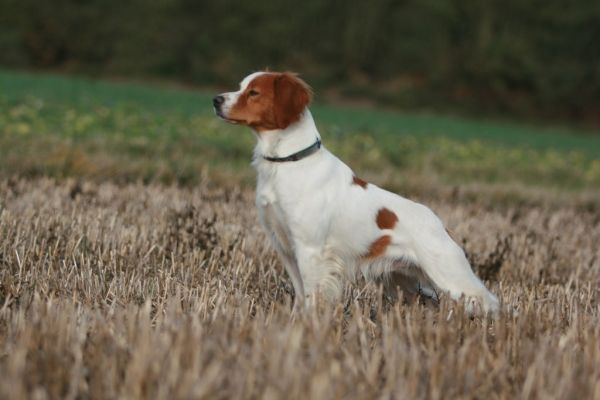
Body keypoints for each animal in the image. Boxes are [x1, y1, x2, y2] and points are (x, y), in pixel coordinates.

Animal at [213, 72, 500, 316]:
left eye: (253, 92)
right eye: (241, 87)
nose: (216, 100)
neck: (289, 162)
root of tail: (441, 224)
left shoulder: (310, 249)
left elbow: (312, 295)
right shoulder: (285, 247)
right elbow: (300, 294)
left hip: (449, 275)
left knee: (489, 302)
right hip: (404, 282)